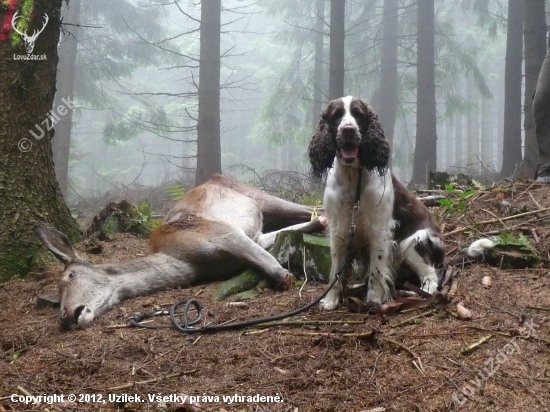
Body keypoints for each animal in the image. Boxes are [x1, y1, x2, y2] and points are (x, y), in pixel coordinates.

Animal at [34, 175, 326, 330]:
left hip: (262, 196)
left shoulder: (223, 232)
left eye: (70, 276)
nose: (65, 316)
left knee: (315, 205)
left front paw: (284, 276)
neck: (190, 262)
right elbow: (273, 240)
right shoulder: (252, 236)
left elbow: (266, 259)